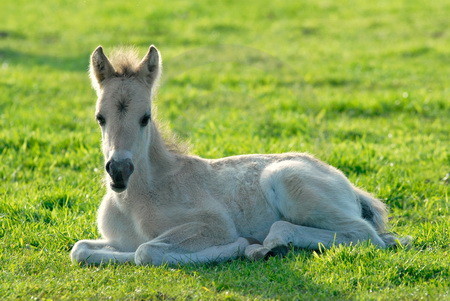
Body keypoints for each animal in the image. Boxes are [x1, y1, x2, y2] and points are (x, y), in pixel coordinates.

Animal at [69, 45, 408, 264]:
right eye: (100, 118)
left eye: (145, 117)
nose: (119, 171)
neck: (137, 200)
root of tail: (348, 186)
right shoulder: (117, 240)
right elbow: (81, 250)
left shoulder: (213, 224)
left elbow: (147, 251)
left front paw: (240, 247)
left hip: (290, 180)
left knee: (364, 235)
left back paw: (268, 245)